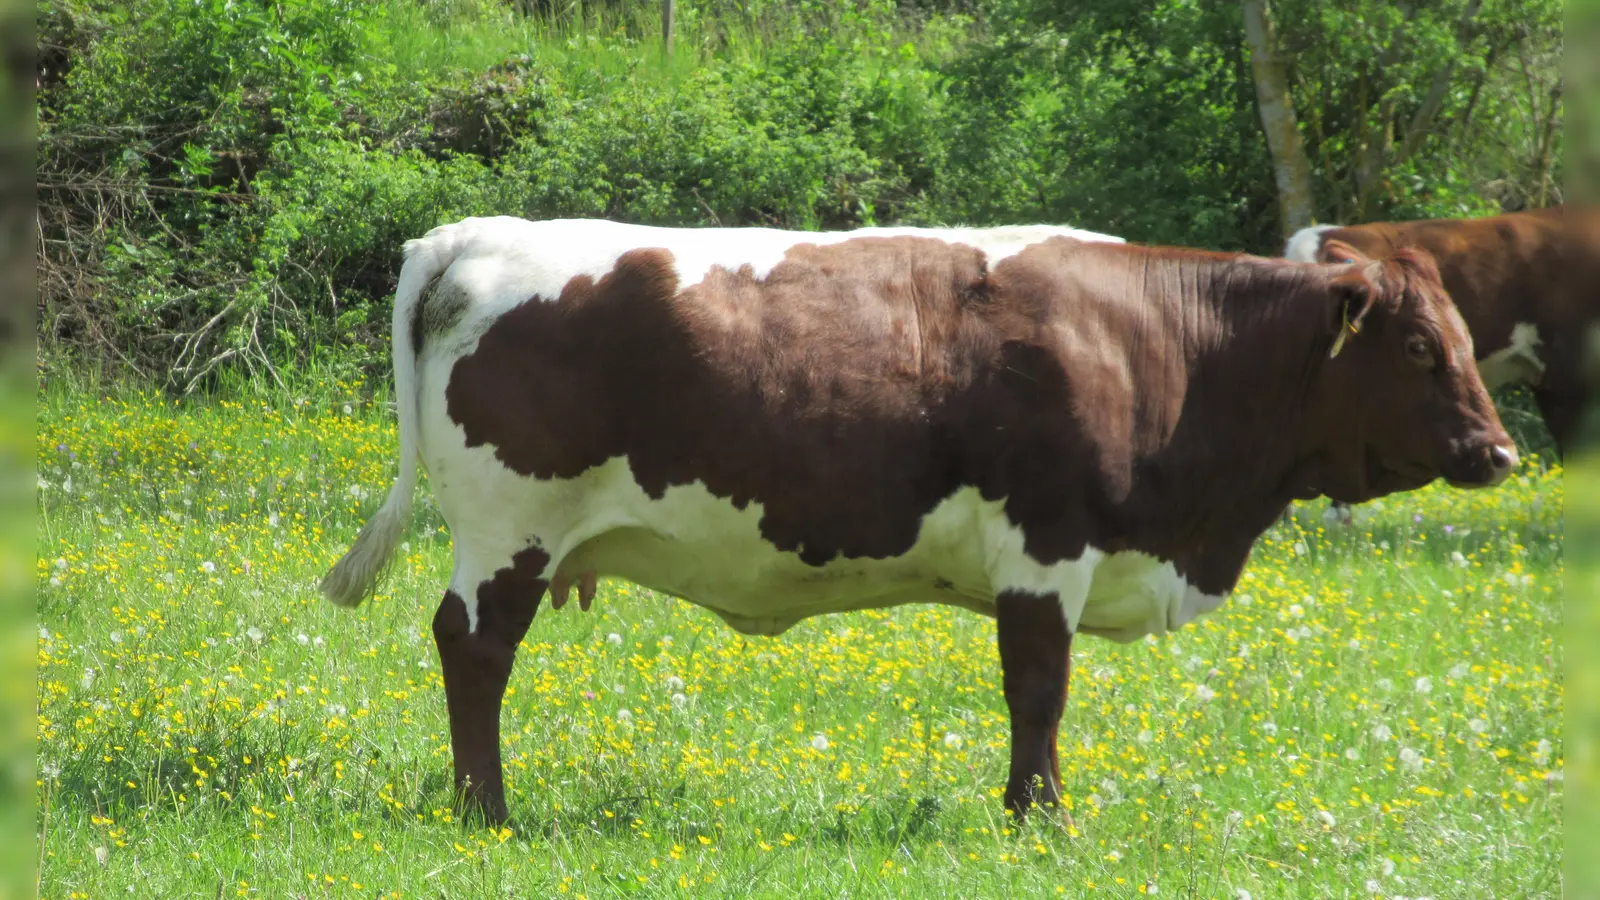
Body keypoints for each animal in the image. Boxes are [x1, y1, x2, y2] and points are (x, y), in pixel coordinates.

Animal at [320, 216, 1515, 827]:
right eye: (1418, 347)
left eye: (1465, 339)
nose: (1497, 451)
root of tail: (473, 234)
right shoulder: (1046, 543)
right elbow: (1038, 689)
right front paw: (1040, 818)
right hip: (508, 530)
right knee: (474, 649)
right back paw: (487, 810)